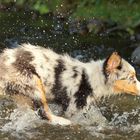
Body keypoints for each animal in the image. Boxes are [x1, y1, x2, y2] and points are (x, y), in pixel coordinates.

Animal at [0, 43, 139, 125]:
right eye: (131, 77)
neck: (90, 79)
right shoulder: (73, 107)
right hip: (34, 83)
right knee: (45, 113)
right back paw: (63, 122)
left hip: (22, 95)